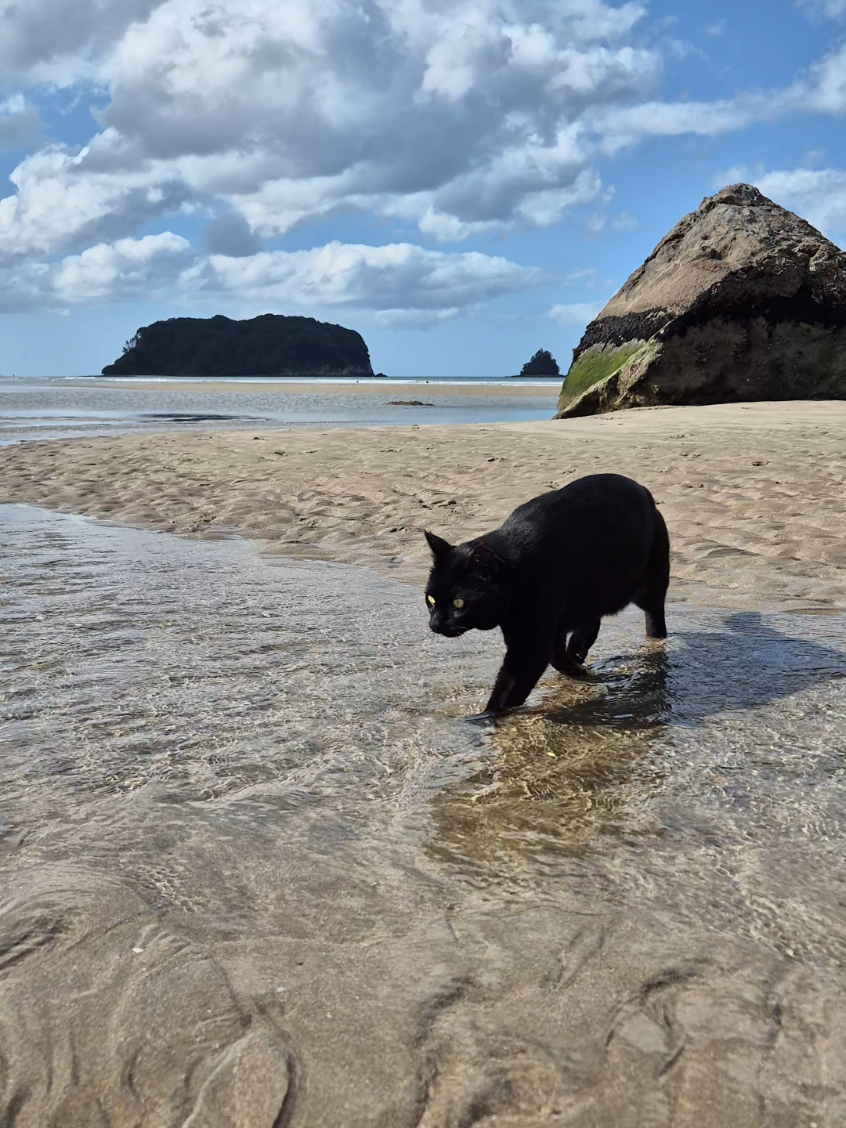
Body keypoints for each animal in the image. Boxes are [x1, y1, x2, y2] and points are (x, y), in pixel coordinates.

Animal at [424, 473, 667, 712]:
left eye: (458, 603)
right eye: (431, 599)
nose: (434, 624)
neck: (520, 570)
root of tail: (642, 488)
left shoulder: (532, 641)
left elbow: (509, 688)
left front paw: (483, 718)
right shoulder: (541, 628)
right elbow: (555, 656)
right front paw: (576, 668)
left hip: (649, 584)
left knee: (654, 613)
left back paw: (655, 641)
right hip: (588, 596)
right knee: (591, 621)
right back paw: (578, 650)